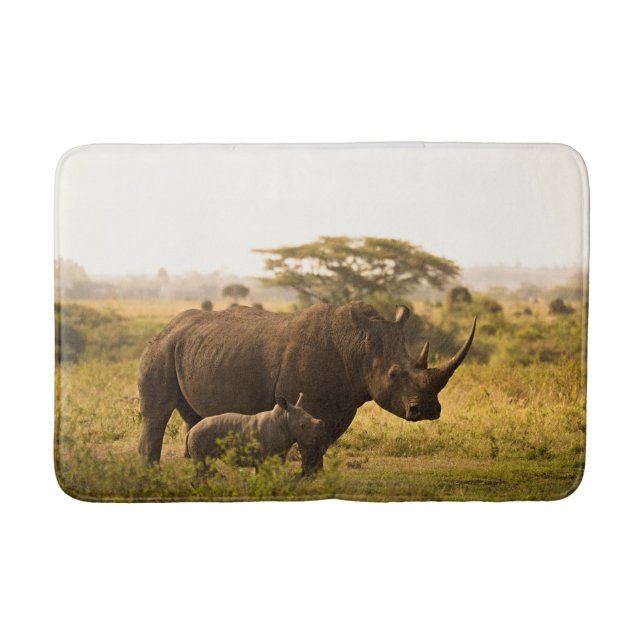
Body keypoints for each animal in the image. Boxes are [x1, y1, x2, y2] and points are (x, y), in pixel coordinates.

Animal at [186, 393, 325, 476]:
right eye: (302, 425)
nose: (319, 437)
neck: (284, 420)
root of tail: (190, 431)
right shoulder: (269, 455)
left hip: (199, 435)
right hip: (200, 436)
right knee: (205, 466)